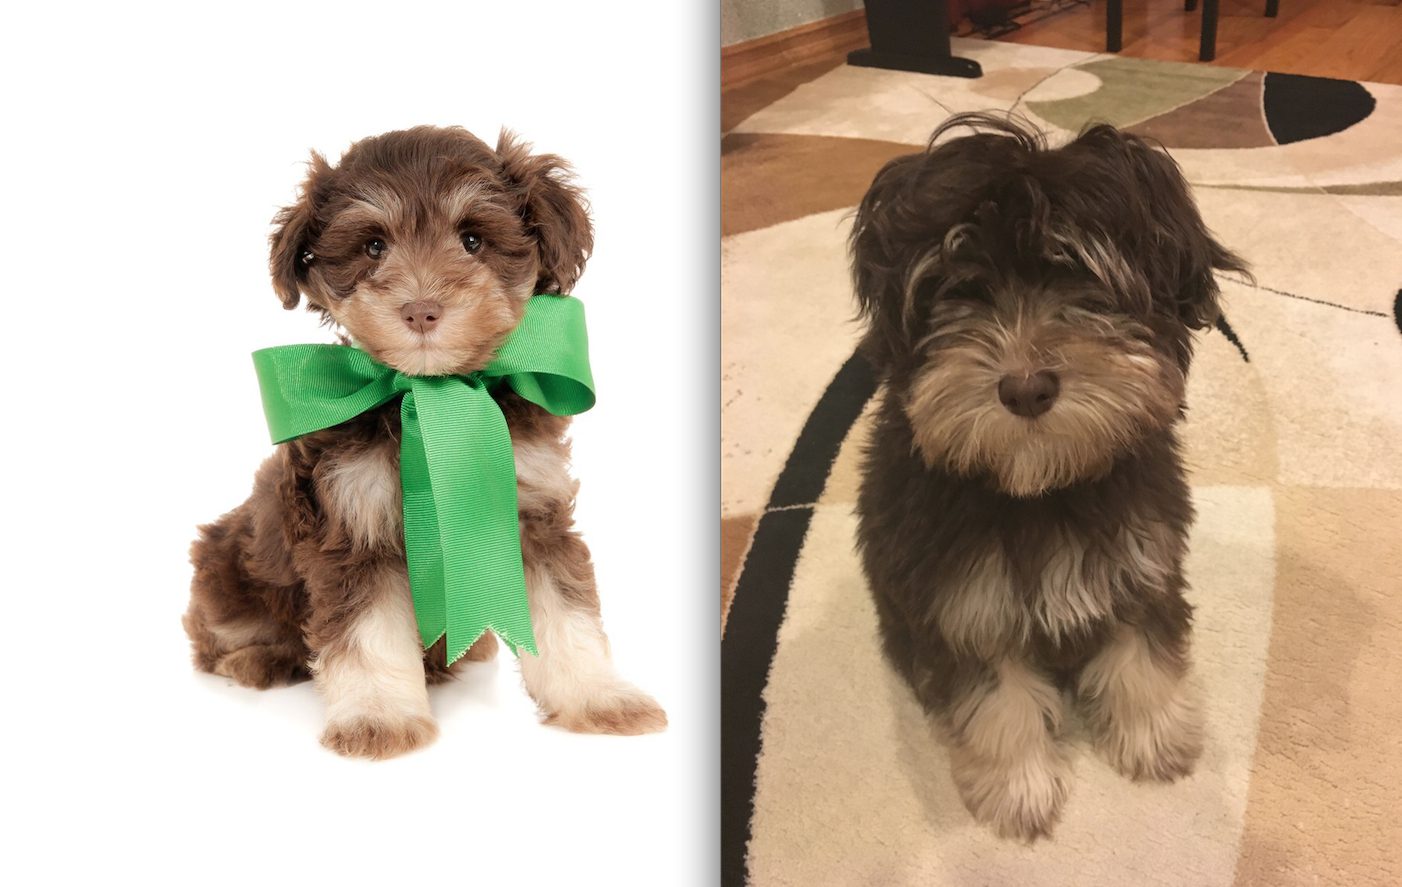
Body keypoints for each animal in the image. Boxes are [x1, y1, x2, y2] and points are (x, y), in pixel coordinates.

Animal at [186, 126, 667, 762]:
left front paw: (600, 697)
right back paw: (256, 659)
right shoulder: (351, 526)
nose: (420, 310)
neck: (432, 394)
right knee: (216, 638)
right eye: (373, 248)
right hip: (225, 570)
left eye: (473, 240)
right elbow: (367, 633)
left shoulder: (531, 511)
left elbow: (566, 614)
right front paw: (378, 716)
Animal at [852, 114, 1250, 840]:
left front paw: (1155, 740)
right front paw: (1019, 790)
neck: (1035, 487)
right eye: (958, 292)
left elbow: (1142, 657)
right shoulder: (964, 606)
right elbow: (995, 703)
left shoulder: (1141, 564)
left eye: (1082, 281)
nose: (1026, 387)